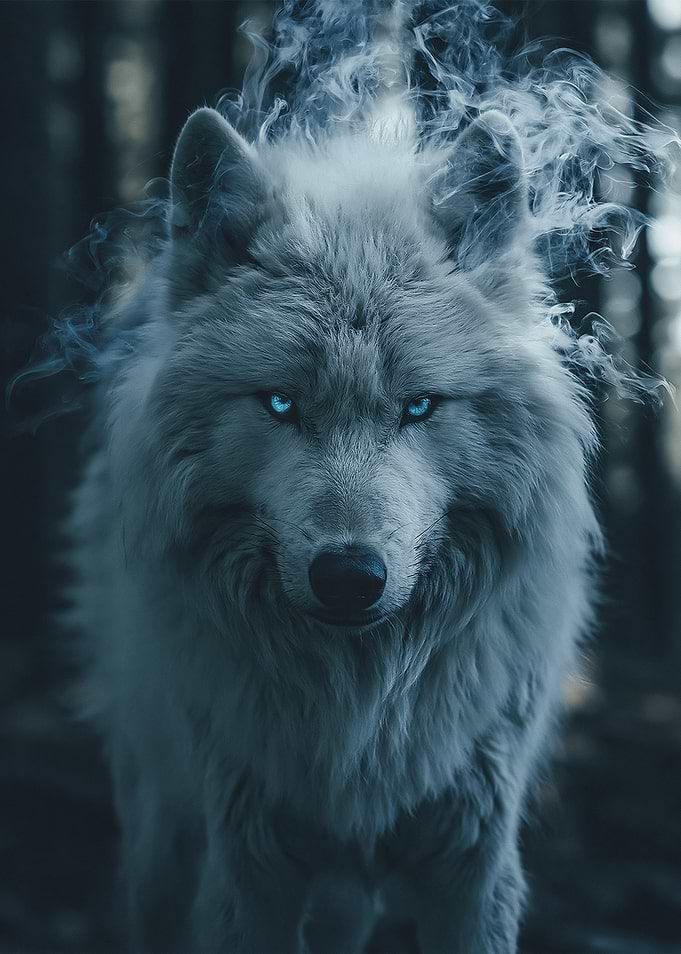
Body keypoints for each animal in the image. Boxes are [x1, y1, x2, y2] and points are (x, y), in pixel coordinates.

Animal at [66, 5, 604, 953]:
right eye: (280, 403)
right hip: (161, 822)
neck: (361, 709)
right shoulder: (246, 863)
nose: (349, 577)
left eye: (419, 407)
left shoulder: (473, 864)